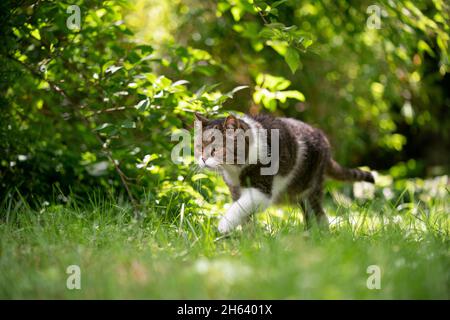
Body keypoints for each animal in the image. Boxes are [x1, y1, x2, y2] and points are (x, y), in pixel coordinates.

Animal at [193, 112, 372, 235]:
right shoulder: (235, 190)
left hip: (310, 190)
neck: (235, 169)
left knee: (319, 215)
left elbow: (239, 207)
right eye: (199, 147)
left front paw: (223, 226)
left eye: (215, 149)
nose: (202, 159)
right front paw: (248, 238)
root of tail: (326, 145)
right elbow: (245, 216)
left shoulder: (262, 190)